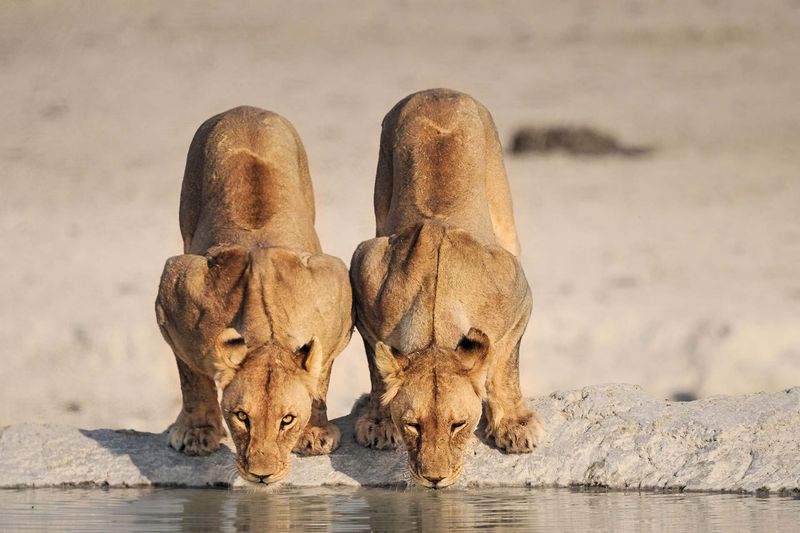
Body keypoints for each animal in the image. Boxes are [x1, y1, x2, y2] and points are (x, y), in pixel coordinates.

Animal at [155, 106, 353, 484]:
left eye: (287, 420)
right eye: (241, 417)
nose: (261, 475)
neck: (268, 336)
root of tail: (244, 110)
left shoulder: (336, 296)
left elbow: (320, 374)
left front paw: (315, 432)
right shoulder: (175, 295)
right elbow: (191, 376)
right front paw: (196, 432)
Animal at [350, 89, 543, 488]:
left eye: (459, 425)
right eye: (412, 425)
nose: (435, 479)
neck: (435, 321)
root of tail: (437, 91)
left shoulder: (519, 296)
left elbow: (504, 366)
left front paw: (515, 426)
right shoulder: (364, 282)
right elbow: (378, 370)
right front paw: (376, 421)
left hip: (504, 214)